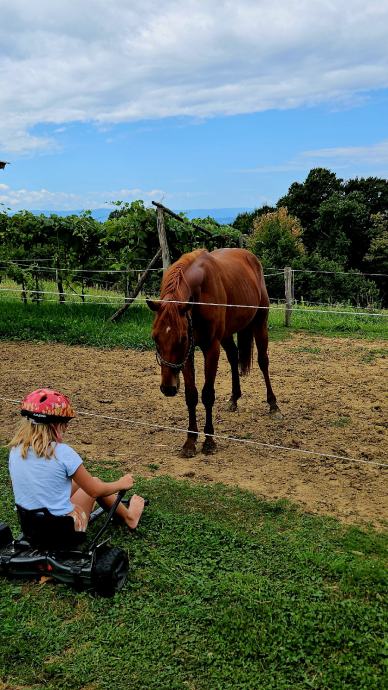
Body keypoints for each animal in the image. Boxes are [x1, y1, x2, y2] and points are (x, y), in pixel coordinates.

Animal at [147, 247, 280, 456]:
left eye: (181, 338)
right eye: (155, 338)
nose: (168, 388)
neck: (200, 295)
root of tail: (250, 257)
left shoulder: (210, 347)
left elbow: (207, 394)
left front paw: (209, 440)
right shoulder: (188, 353)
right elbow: (191, 395)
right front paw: (190, 441)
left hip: (260, 324)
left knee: (263, 362)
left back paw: (273, 405)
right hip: (227, 334)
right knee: (233, 357)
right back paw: (234, 399)